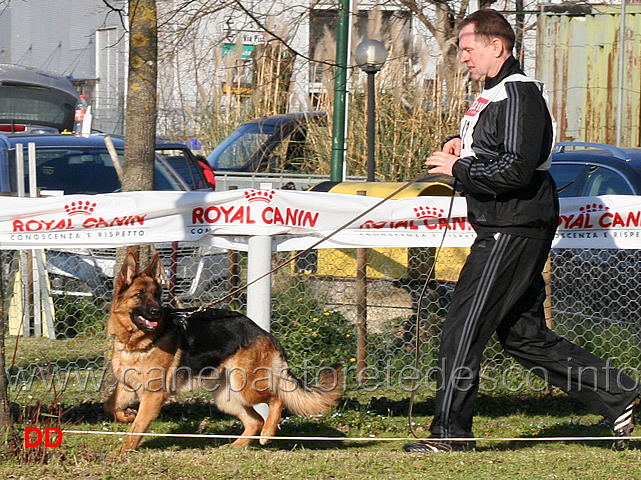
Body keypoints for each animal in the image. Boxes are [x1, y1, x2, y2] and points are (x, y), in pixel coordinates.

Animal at [104, 253, 342, 452]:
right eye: (139, 294)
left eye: (156, 295)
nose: (158, 312)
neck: (137, 344)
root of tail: (263, 332)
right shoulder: (127, 387)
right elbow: (111, 407)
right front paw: (126, 416)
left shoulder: (152, 396)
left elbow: (138, 426)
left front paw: (122, 452)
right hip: (227, 398)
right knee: (255, 420)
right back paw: (236, 446)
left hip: (248, 389)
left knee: (277, 400)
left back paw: (267, 433)